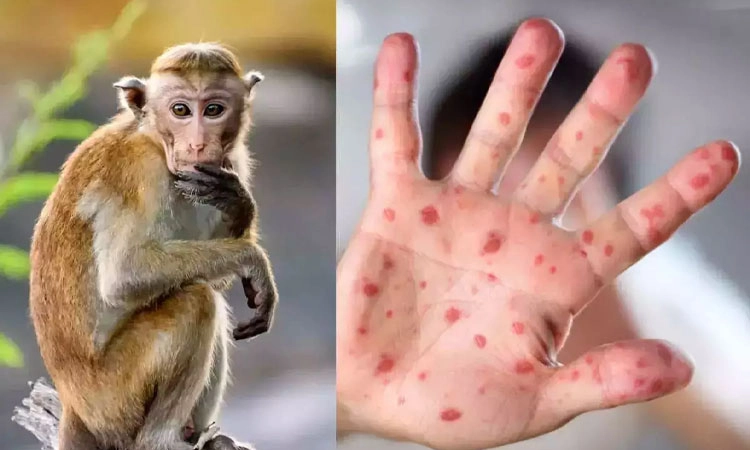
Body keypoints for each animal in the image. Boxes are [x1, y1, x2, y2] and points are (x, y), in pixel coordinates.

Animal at [28, 42, 278, 450]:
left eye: (214, 109)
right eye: (181, 110)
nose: (198, 144)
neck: (155, 139)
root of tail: (72, 406)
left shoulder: (230, 164)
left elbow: (219, 276)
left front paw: (239, 204)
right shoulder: (140, 171)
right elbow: (124, 275)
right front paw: (254, 260)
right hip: (114, 397)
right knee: (196, 301)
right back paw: (161, 440)